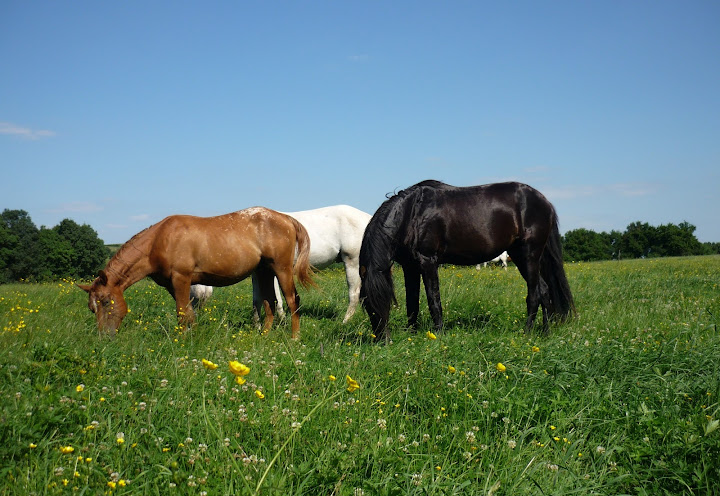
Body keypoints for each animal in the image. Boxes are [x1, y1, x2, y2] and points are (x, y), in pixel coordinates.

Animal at [79, 207, 316, 340]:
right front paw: (192, 335)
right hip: (264, 271)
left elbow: (182, 313)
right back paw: (264, 336)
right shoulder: (172, 285)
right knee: (269, 304)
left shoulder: (181, 278)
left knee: (292, 300)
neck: (159, 240)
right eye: (92, 308)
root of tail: (286, 218)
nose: (105, 336)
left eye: (106, 301)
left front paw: (184, 340)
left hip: (281, 269)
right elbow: (189, 312)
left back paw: (295, 338)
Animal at [191, 205, 372, 326]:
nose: (195, 317)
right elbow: (257, 298)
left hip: (352, 262)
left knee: (354, 295)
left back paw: (345, 322)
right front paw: (257, 325)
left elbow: (276, 297)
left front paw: (281, 319)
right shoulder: (258, 273)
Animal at [358, 180, 572, 342]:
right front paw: (411, 334)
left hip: (529, 255)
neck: (412, 213)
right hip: (522, 256)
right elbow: (412, 304)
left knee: (534, 295)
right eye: (366, 304)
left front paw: (438, 333)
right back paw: (544, 333)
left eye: (384, 301)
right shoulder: (410, 267)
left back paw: (527, 333)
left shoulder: (428, 261)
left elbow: (433, 300)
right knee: (544, 290)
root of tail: (545, 202)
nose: (382, 340)